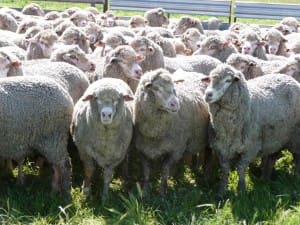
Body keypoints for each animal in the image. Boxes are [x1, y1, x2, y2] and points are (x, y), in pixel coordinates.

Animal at [203, 63, 300, 195]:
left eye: (228, 80)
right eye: (210, 79)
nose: (208, 94)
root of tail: (289, 78)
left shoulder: (250, 148)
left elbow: (240, 167)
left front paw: (241, 190)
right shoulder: (221, 149)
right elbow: (224, 170)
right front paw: (221, 192)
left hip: (295, 137)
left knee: (297, 157)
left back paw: (296, 177)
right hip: (276, 137)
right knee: (272, 157)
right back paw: (265, 178)